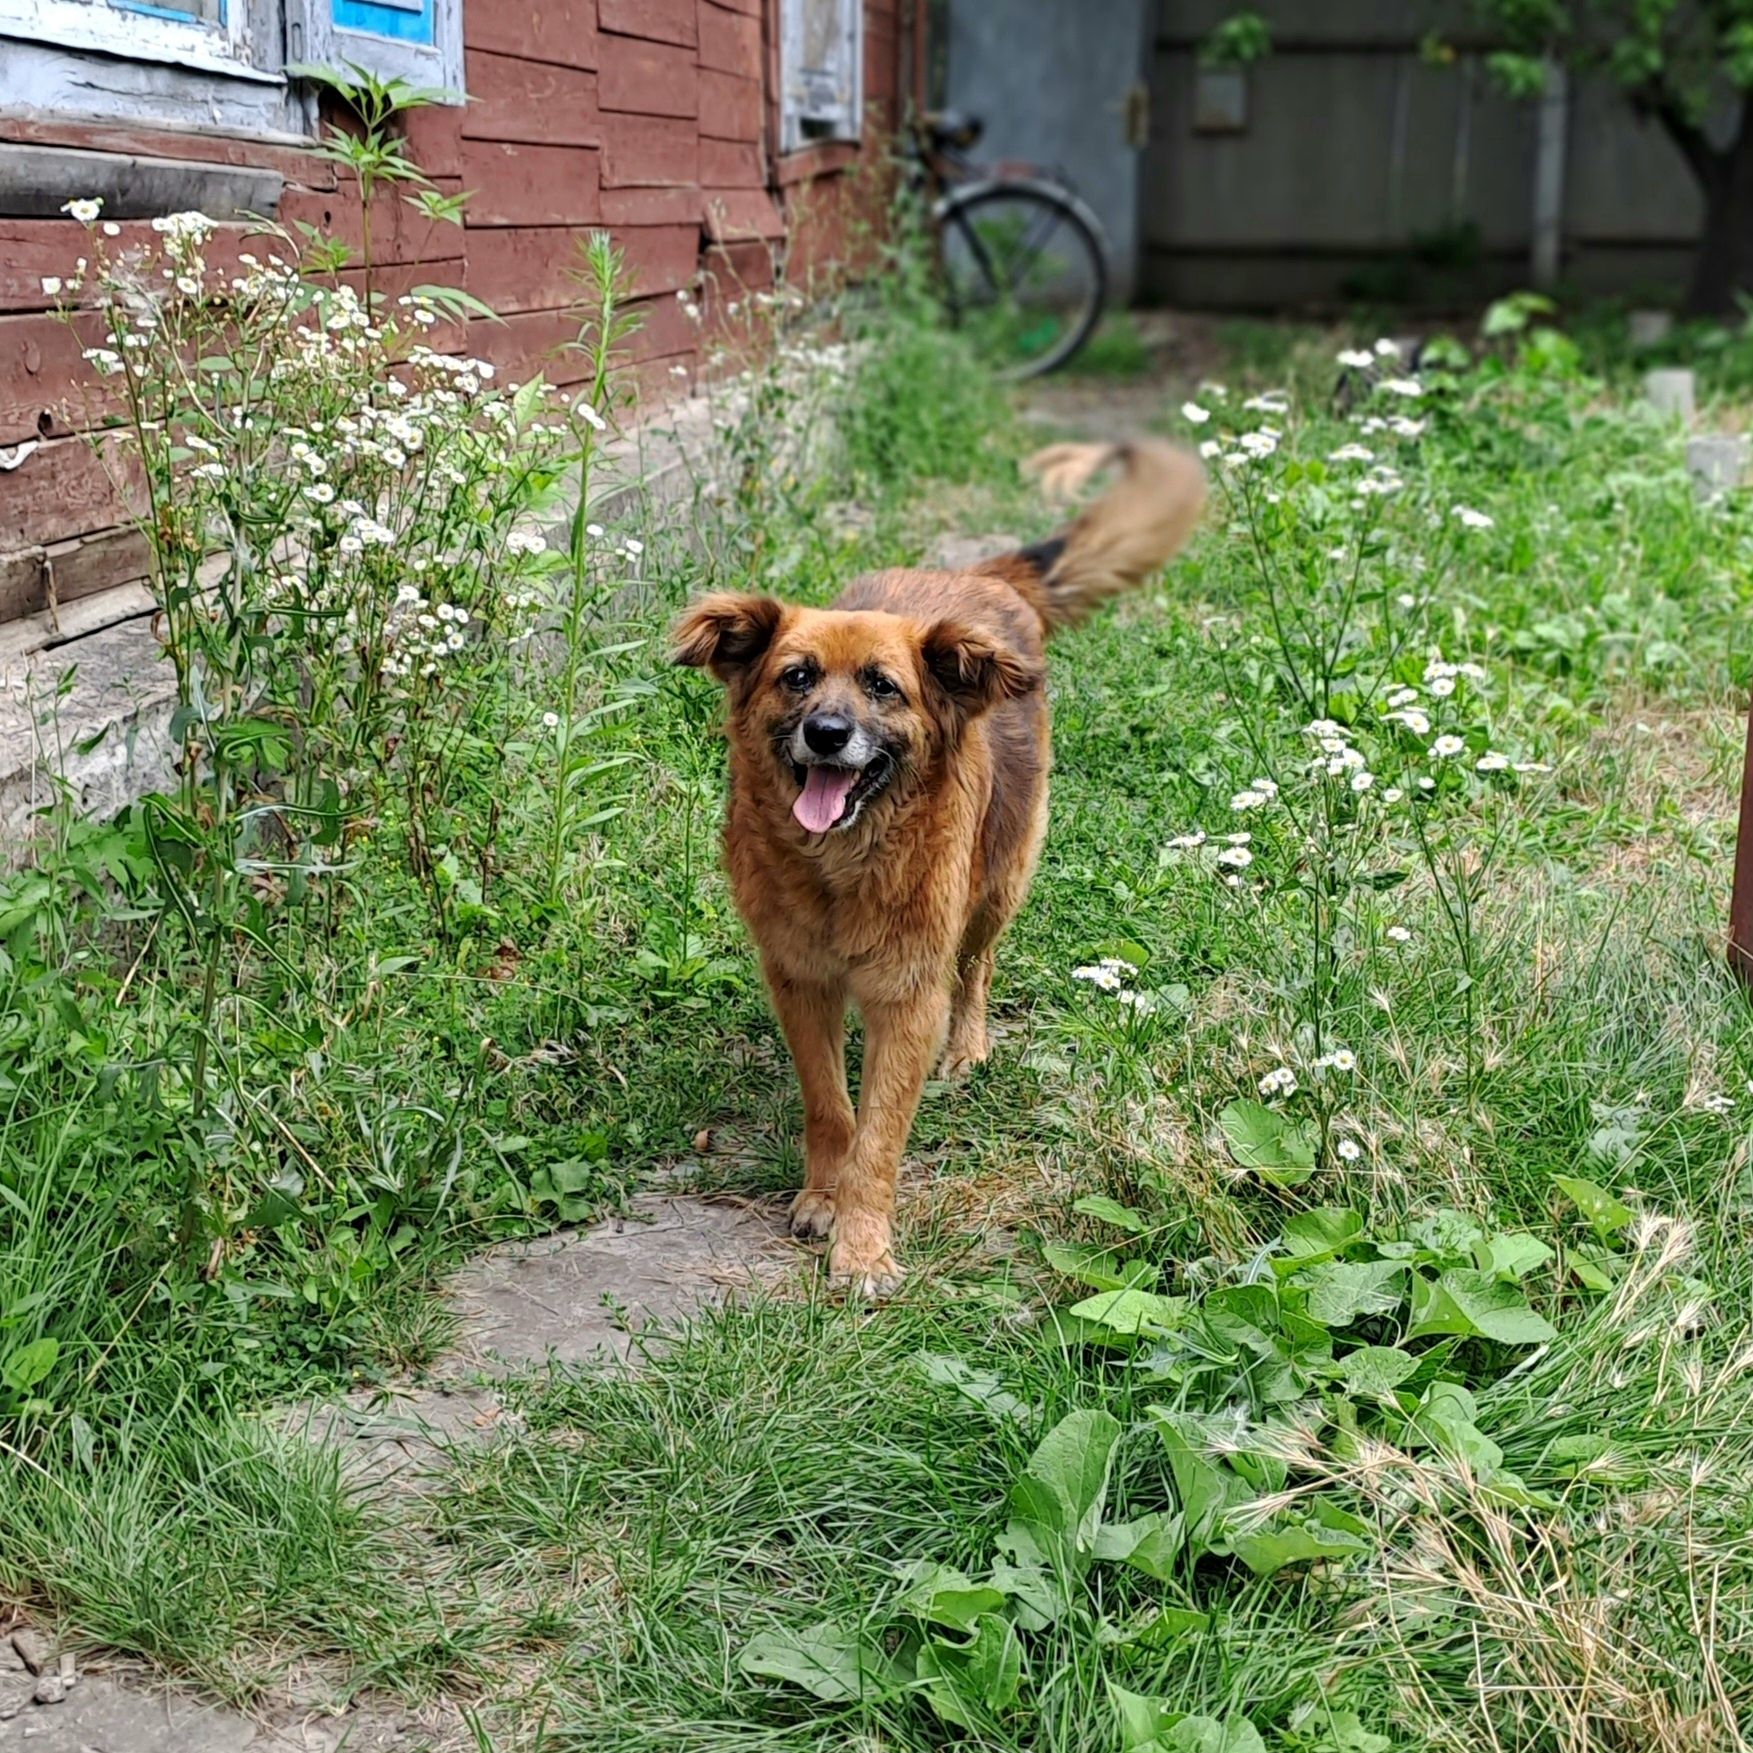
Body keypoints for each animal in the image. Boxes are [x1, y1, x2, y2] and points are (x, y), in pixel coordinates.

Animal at [669, 438, 1206, 1290]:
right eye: (796, 676)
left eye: (882, 687)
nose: (826, 734)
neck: (841, 867)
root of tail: (977, 579)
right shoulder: (800, 979)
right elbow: (831, 1106)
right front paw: (824, 1195)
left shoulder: (909, 993)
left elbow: (880, 1135)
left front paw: (862, 1245)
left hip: (998, 882)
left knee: (977, 965)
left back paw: (966, 1047)